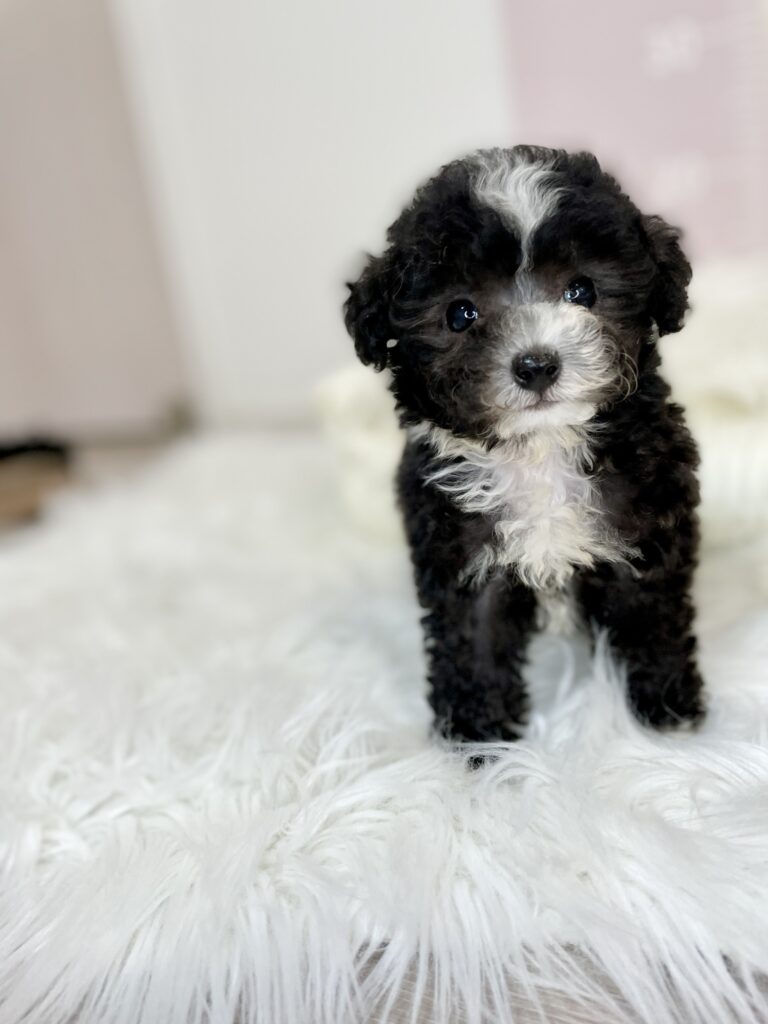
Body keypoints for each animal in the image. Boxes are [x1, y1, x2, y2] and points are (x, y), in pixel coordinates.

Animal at [344, 145, 703, 742]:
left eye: (582, 291)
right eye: (460, 314)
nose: (536, 364)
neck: (541, 448)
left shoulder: (644, 531)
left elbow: (652, 620)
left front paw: (667, 708)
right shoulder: (463, 556)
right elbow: (475, 641)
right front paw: (479, 734)